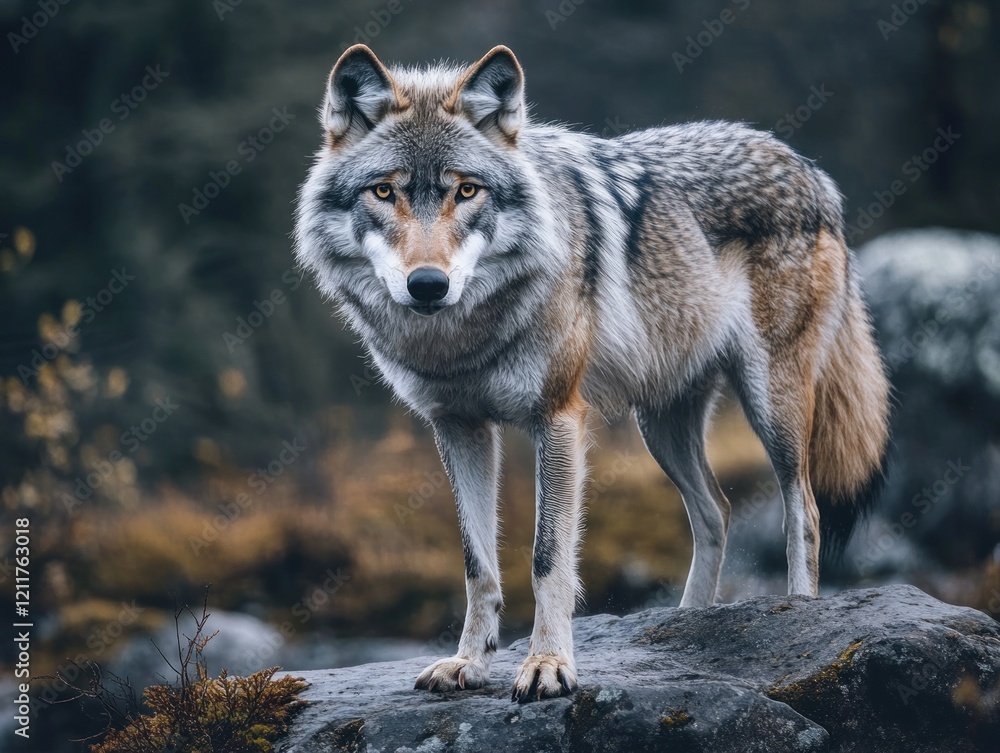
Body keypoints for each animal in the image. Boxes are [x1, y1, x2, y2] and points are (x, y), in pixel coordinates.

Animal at [294, 44, 891, 702]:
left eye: (467, 191)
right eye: (383, 191)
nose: (428, 284)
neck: (462, 339)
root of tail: (811, 170)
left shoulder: (558, 418)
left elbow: (548, 557)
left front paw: (548, 665)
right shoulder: (458, 427)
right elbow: (477, 563)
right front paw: (468, 663)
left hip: (772, 408)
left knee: (803, 509)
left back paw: (797, 614)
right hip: (662, 427)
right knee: (717, 510)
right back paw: (687, 622)